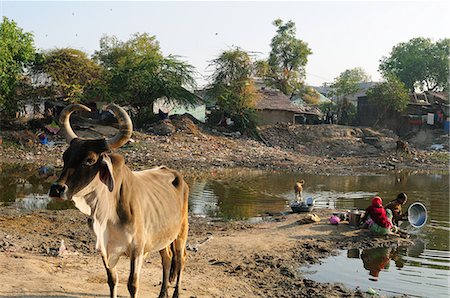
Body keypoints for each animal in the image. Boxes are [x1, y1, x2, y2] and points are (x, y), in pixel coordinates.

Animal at [48, 103, 189, 298]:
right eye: (65, 156)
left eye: (89, 160)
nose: (57, 188)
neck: (108, 212)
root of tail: (172, 172)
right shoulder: (105, 247)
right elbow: (112, 279)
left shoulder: (137, 249)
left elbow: (132, 284)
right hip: (163, 235)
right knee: (167, 259)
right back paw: (162, 294)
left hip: (182, 231)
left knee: (180, 259)